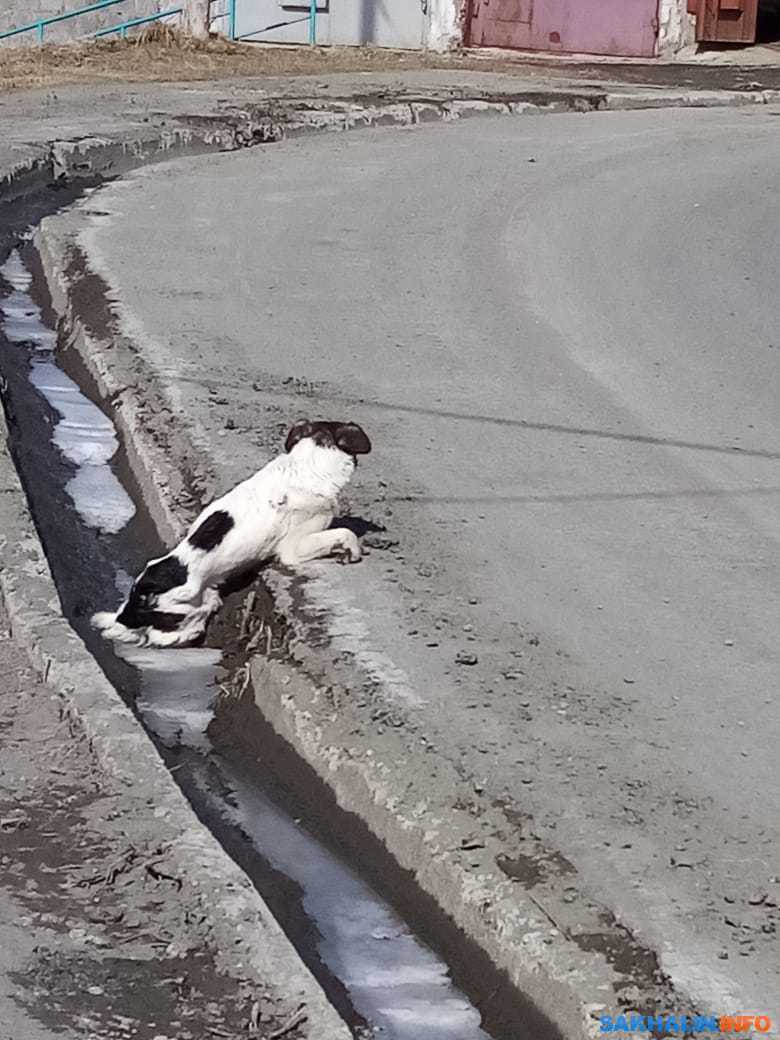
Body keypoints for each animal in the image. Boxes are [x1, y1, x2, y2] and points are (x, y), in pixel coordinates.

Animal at [91, 418, 372, 644]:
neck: (307, 463)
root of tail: (137, 600)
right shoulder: (293, 546)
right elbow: (344, 533)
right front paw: (351, 551)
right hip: (189, 613)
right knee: (164, 636)